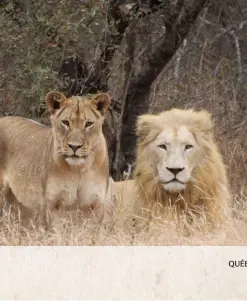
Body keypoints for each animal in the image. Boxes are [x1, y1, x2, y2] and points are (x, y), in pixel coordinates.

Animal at [0, 90, 112, 226]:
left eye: (89, 124)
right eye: (65, 122)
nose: (74, 146)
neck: (78, 169)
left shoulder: (95, 205)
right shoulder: (50, 203)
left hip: (21, 205)